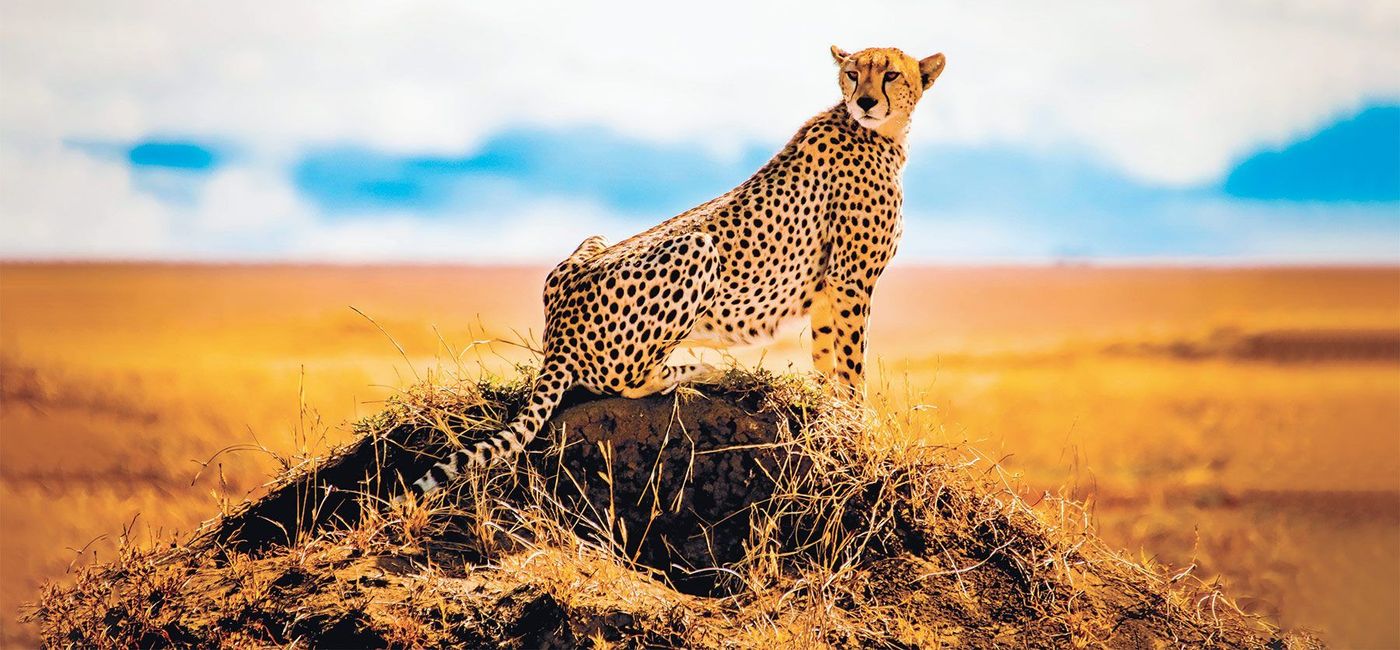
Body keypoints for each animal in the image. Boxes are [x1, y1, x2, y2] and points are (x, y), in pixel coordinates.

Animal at [405, 45, 947, 498]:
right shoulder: (851, 280)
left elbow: (826, 359)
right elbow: (852, 366)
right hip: (698, 248)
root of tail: (557, 333)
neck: (880, 134)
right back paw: (700, 367)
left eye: (891, 74)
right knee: (626, 380)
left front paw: (832, 415)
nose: (866, 101)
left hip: (592, 242)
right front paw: (859, 427)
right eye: (853, 74)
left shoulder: (828, 289)